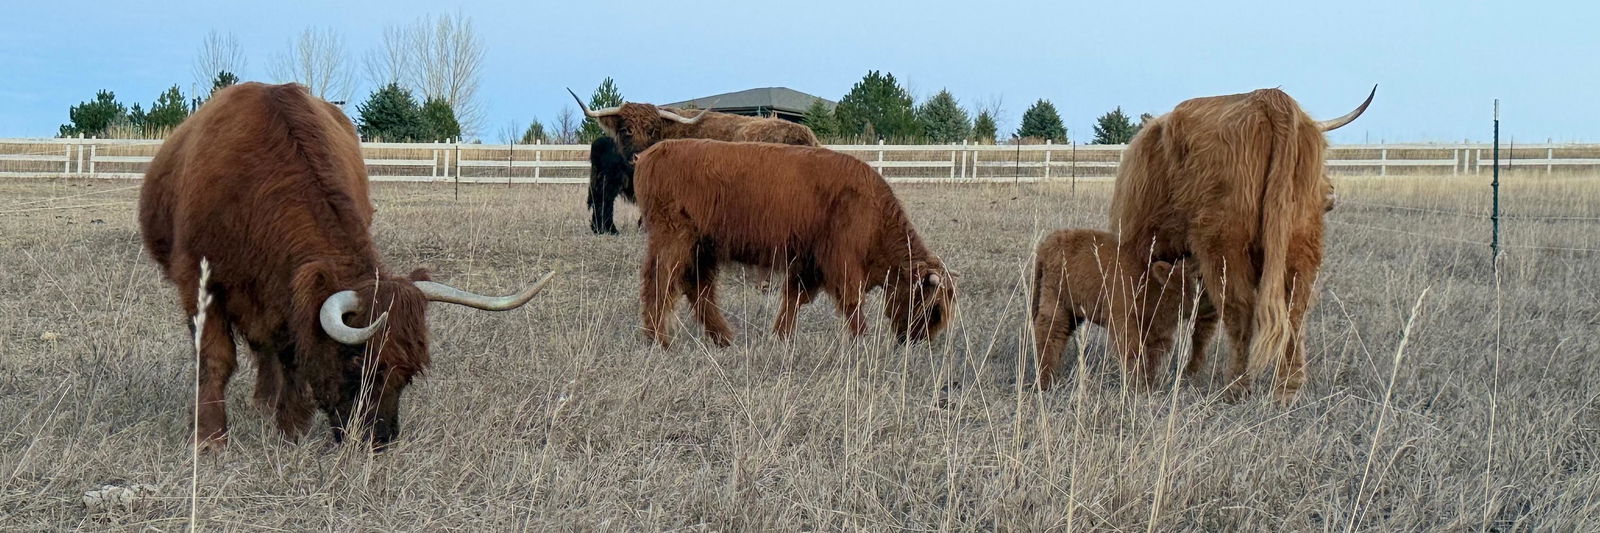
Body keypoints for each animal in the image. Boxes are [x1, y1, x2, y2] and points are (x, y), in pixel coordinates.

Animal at [139, 82, 555, 450]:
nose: (378, 439)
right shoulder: (199, 282)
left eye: (408, 371)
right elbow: (215, 358)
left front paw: (290, 427)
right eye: (356, 360)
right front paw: (210, 438)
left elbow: (291, 355)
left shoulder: (290, 294)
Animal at [632, 139, 956, 347]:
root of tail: (652, 153)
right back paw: (659, 340)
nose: (918, 341)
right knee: (661, 280)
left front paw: (781, 337)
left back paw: (724, 339)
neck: (873, 211)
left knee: (697, 288)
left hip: (703, 247)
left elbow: (794, 299)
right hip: (674, 238)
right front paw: (861, 340)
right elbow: (852, 303)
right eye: (934, 309)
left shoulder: (808, 264)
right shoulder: (842, 264)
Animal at [1031, 229, 1218, 390]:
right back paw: (1045, 382)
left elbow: (1155, 356)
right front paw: (1137, 386)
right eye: (1199, 276)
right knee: (1049, 335)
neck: (1153, 282)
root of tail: (1048, 243)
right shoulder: (1125, 322)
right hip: (1056, 303)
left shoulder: (1159, 329)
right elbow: (1132, 353)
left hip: (1074, 311)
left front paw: (1151, 385)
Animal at [1108, 86, 1374, 401]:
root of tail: (1269, 99)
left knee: (1240, 309)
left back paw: (1236, 385)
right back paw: (1288, 388)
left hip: (1225, 245)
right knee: (1294, 310)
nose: (1331, 193)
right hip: (1301, 242)